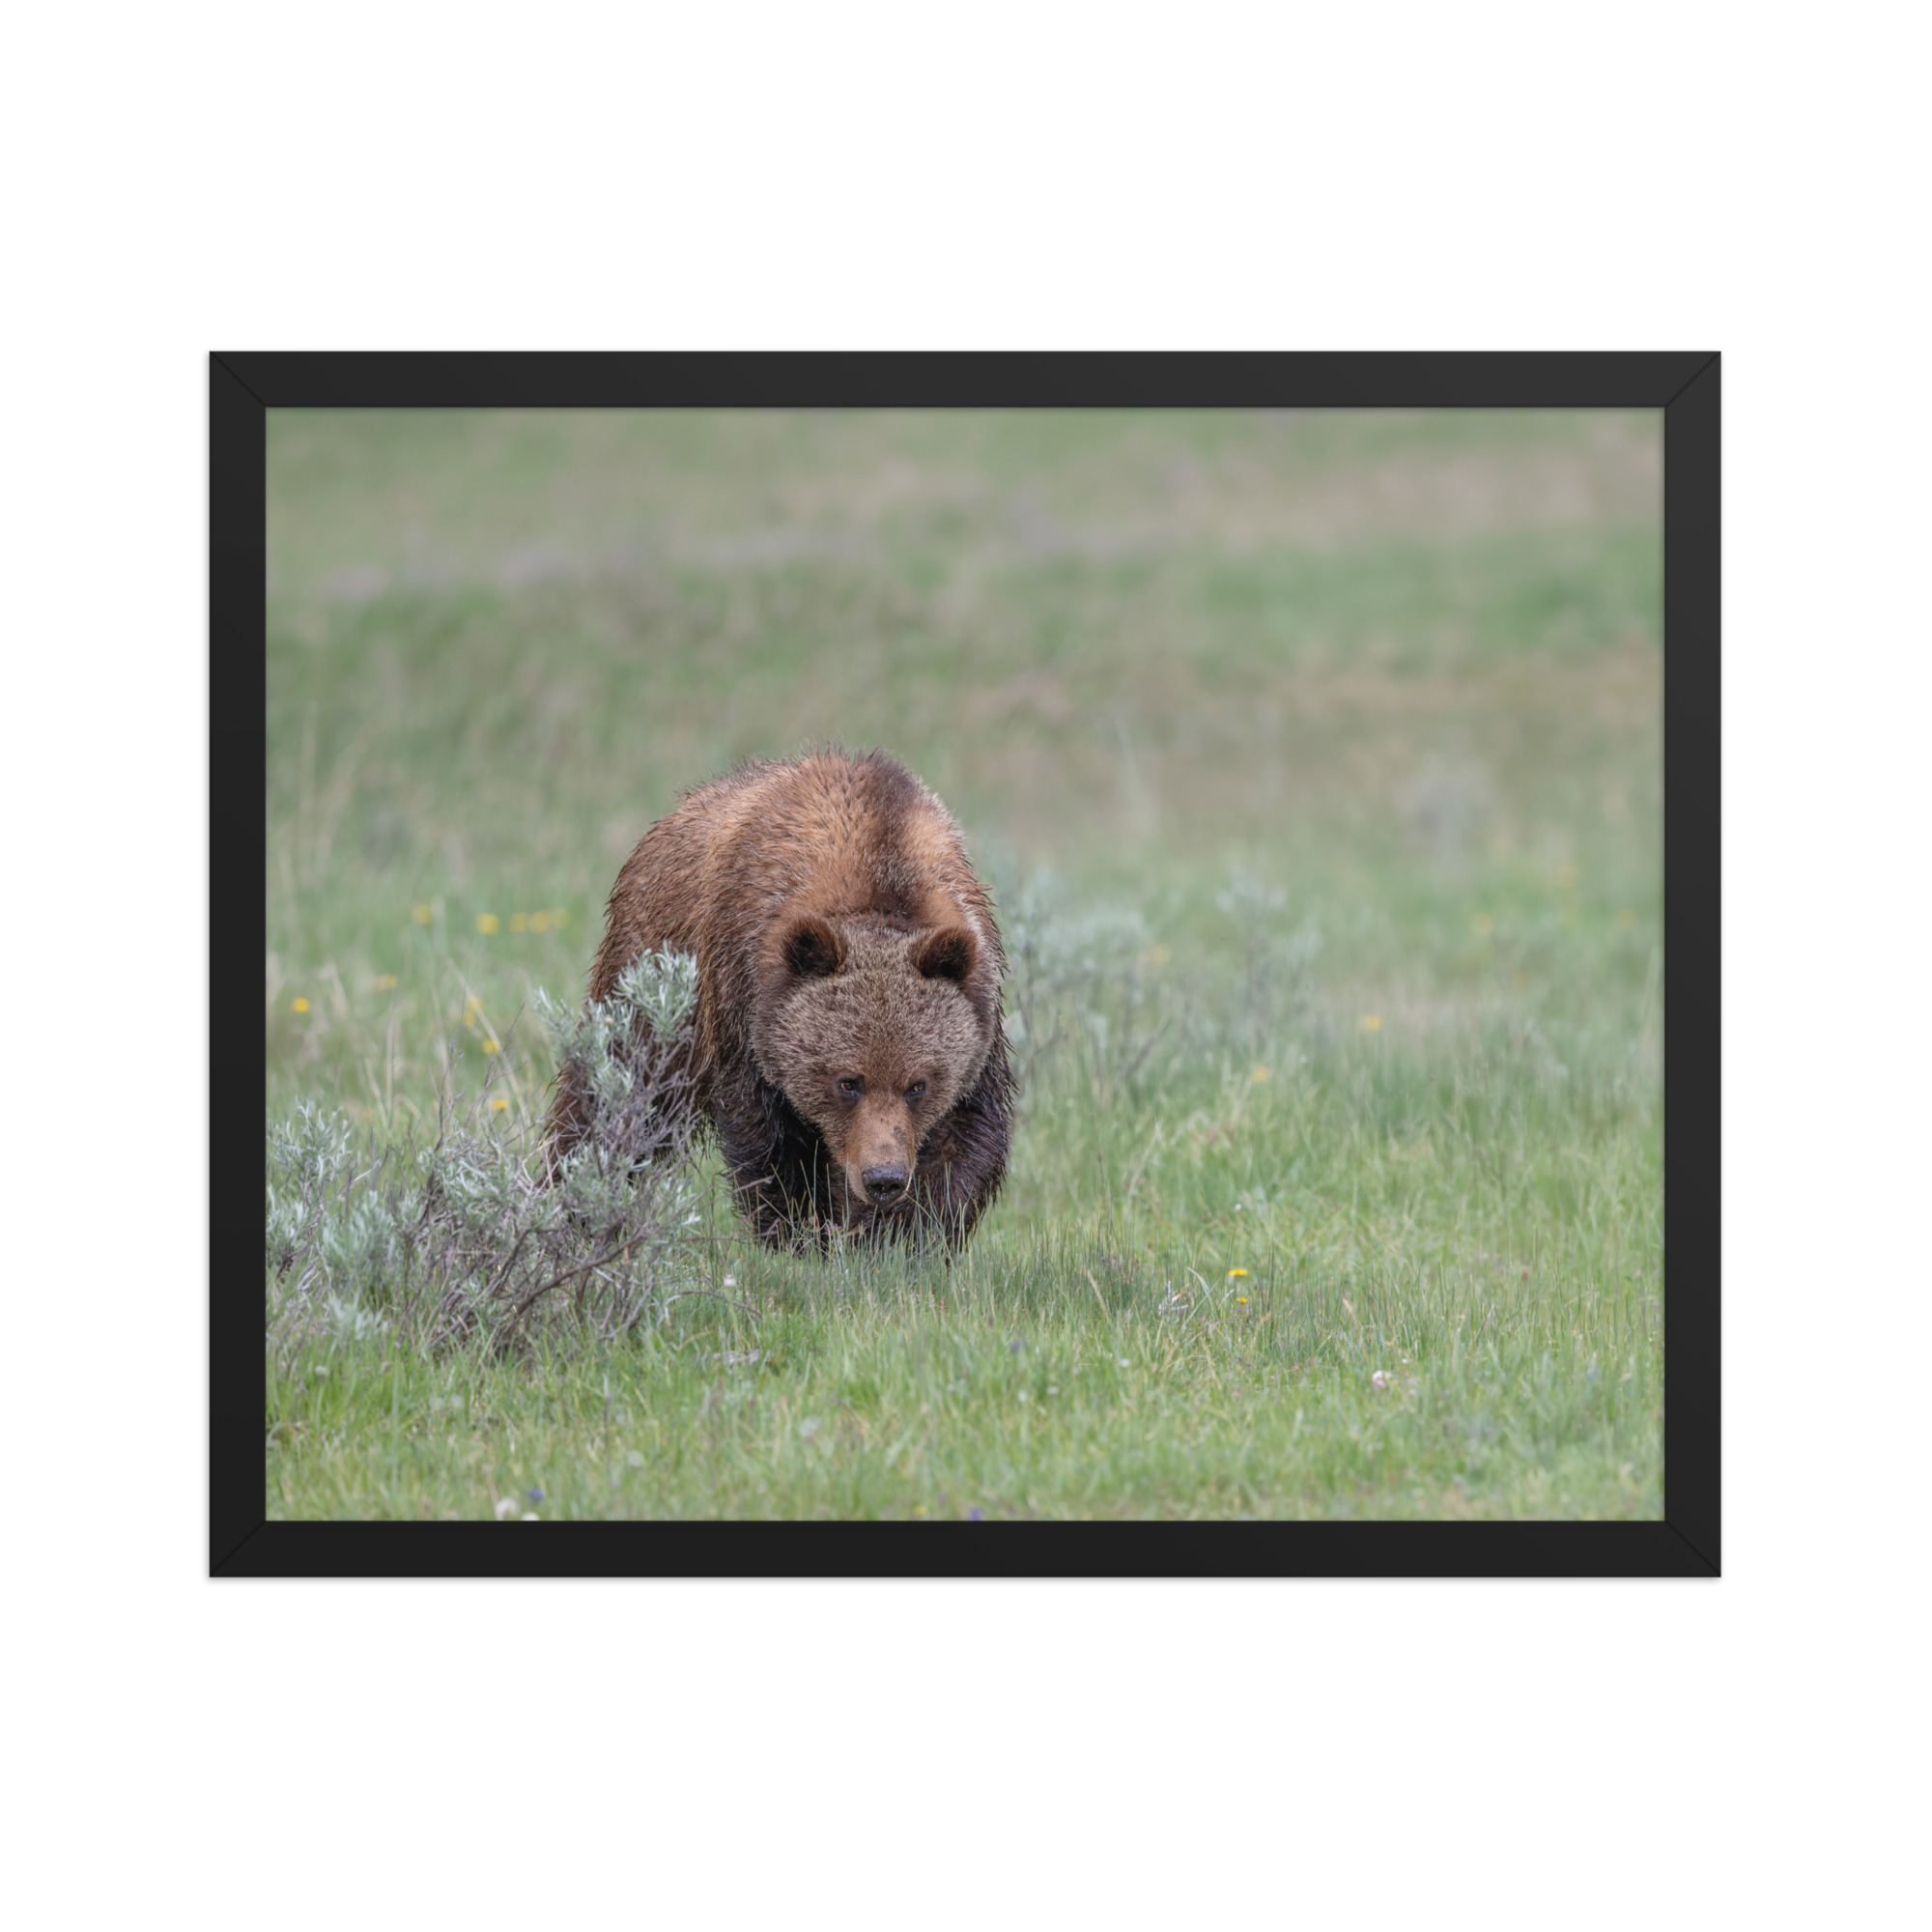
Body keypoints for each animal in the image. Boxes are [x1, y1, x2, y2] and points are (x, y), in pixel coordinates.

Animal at [549, 749, 1016, 1250]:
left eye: (918, 1085)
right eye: (847, 1082)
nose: (883, 1178)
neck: (880, 870)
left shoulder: (979, 1012)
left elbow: (964, 1139)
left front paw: (901, 1238)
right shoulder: (744, 999)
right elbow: (770, 1142)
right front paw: (801, 1234)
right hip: (652, 977)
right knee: (615, 1094)